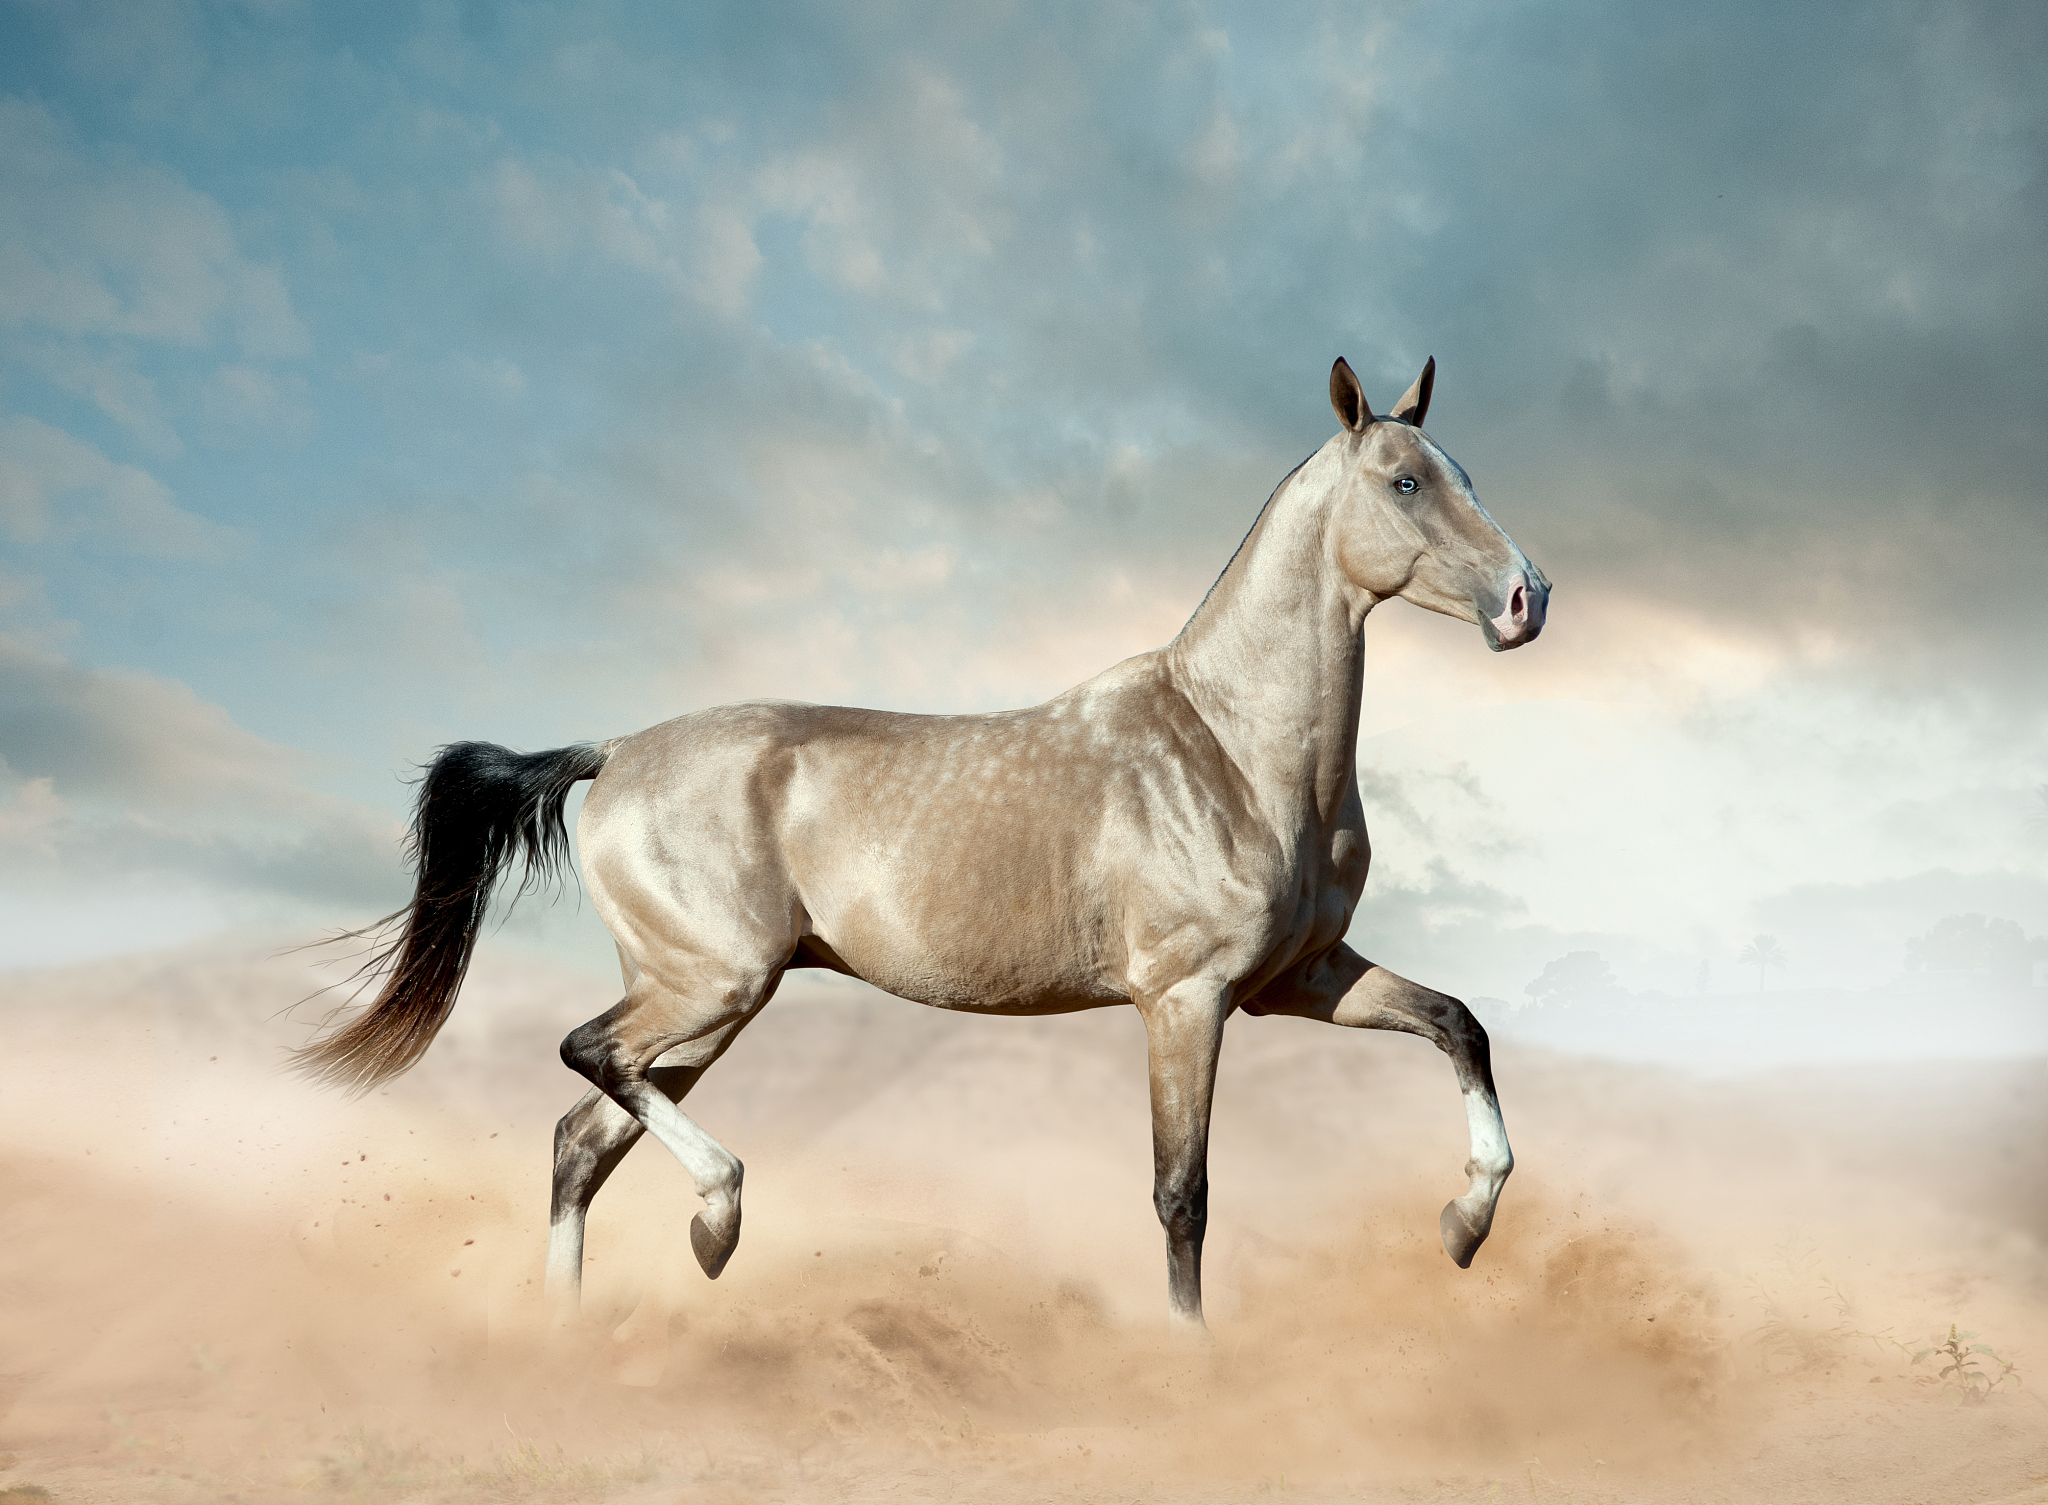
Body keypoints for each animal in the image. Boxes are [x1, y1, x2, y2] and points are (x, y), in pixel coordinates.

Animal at [298, 356, 1550, 1330]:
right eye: (1405, 481)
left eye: (1468, 475)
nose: (1525, 598)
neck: (1230, 748)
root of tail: (608, 753)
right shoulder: (1183, 1000)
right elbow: (1180, 1195)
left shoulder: (1297, 979)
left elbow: (1459, 1023)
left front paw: (1462, 1223)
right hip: (710, 983)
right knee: (584, 1058)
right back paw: (717, 1220)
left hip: (698, 1007)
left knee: (578, 1139)